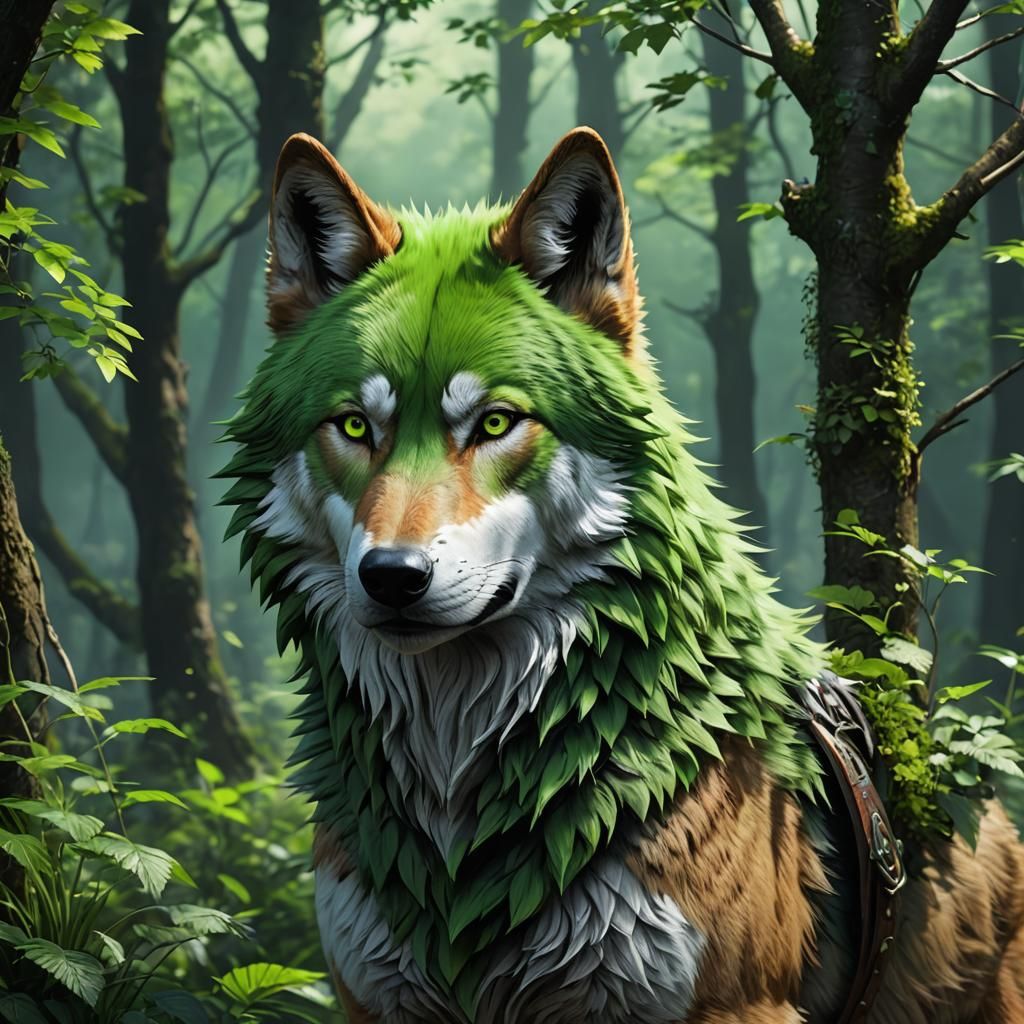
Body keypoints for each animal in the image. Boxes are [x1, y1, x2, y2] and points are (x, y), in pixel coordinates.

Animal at [221, 127, 1024, 1023]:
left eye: (495, 422)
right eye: (356, 426)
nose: (393, 576)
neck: (458, 801)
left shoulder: (729, 1006)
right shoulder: (372, 999)